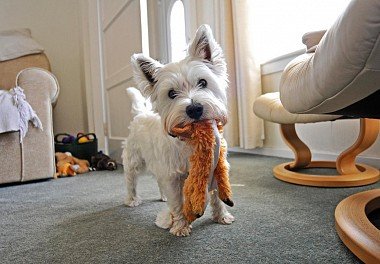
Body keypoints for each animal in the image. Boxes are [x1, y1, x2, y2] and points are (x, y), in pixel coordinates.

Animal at [123, 24, 233, 235]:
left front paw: (222, 216)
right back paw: (132, 200)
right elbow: (178, 203)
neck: (192, 140)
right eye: (171, 93)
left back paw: (162, 196)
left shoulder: (214, 168)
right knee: (131, 180)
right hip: (134, 160)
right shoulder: (174, 175)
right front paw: (180, 226)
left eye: (203, 82)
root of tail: (140, 113)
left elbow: (217, 196)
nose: (194, 109)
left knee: (159, 180)